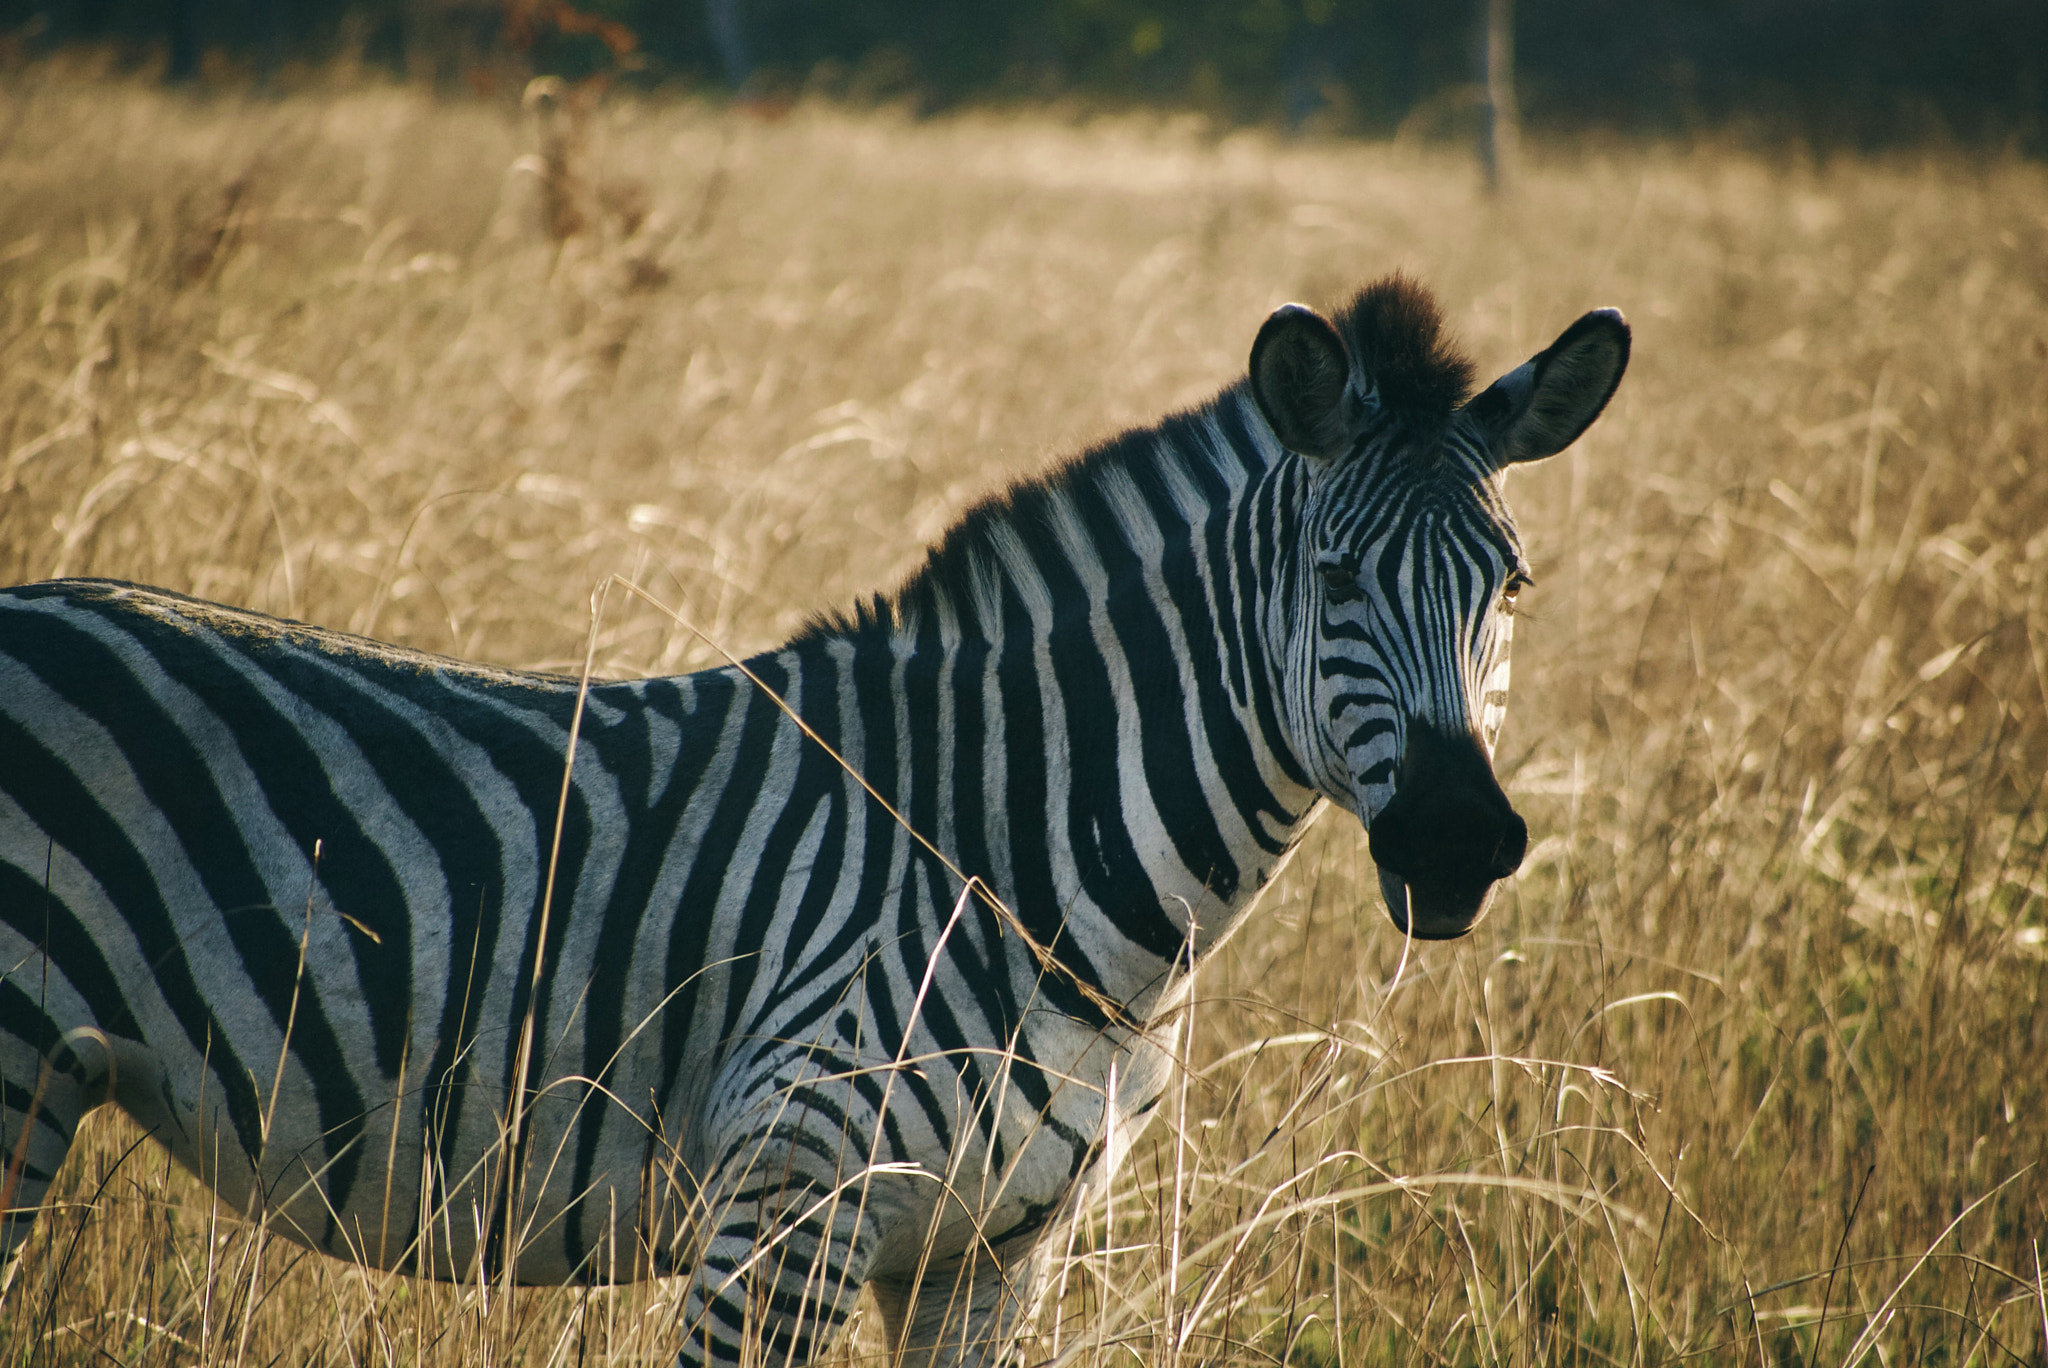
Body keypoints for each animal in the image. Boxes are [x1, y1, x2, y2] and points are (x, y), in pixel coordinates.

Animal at [4, 278, 1630, 1368]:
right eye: (1336, 579)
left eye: (1511, 586)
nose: (1459, 846)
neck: (1001, 850)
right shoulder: (781, 1213)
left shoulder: (990, 1258)